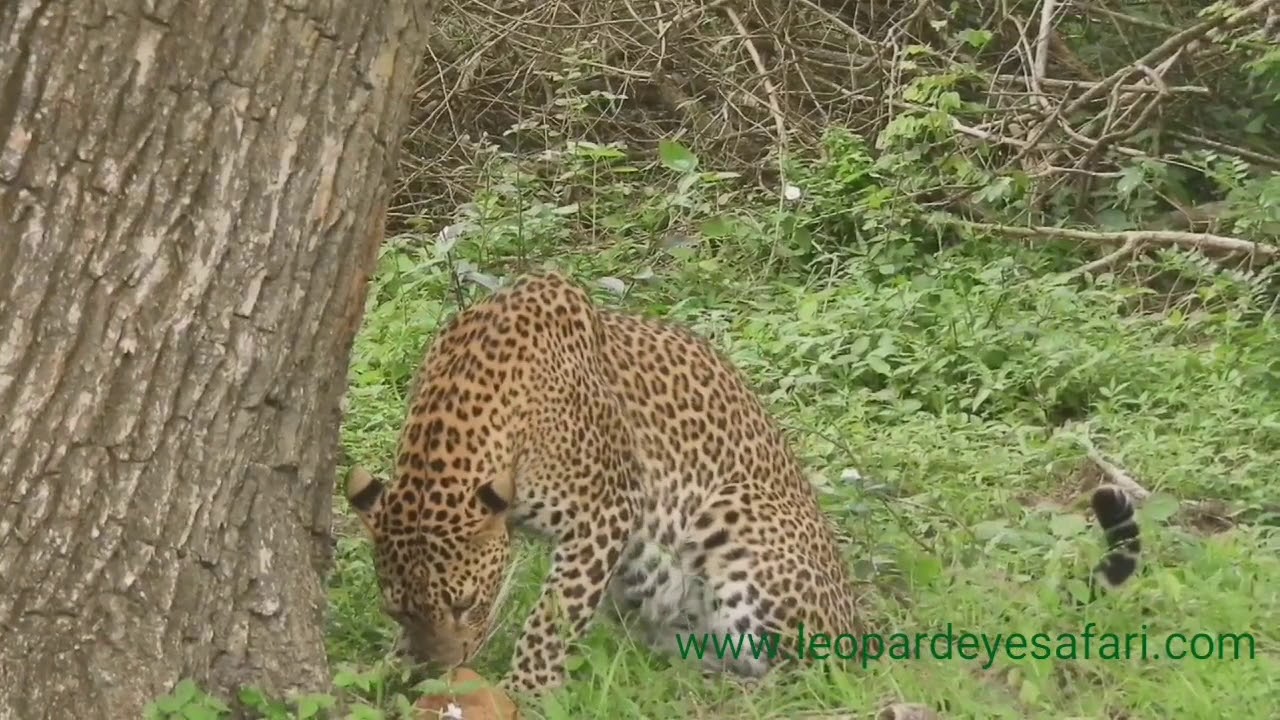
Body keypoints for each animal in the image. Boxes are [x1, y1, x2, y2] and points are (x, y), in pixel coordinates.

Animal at [344, 269, 1143, 695]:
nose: (442, 674)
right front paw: (389, 673)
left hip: (734, 526)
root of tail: (859, 619)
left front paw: (524, 692)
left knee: (819, 670)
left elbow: (550, 620)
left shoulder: (605, 512)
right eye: (395, 608)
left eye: (468, 603)